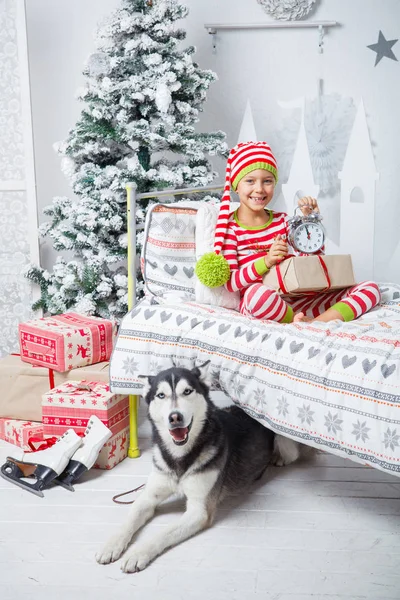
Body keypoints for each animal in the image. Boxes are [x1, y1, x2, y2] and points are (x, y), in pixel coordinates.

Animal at [96, 360, 304, 572]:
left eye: (187, 391)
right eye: (161, 395)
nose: (175, 417)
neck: (179, 457)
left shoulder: (199, 511)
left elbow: (163, 533)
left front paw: (137, 553)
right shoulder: (148, 496)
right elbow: (130, 518)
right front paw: (112, 544)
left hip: (284, 442)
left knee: (292, 452)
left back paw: (278, 458)